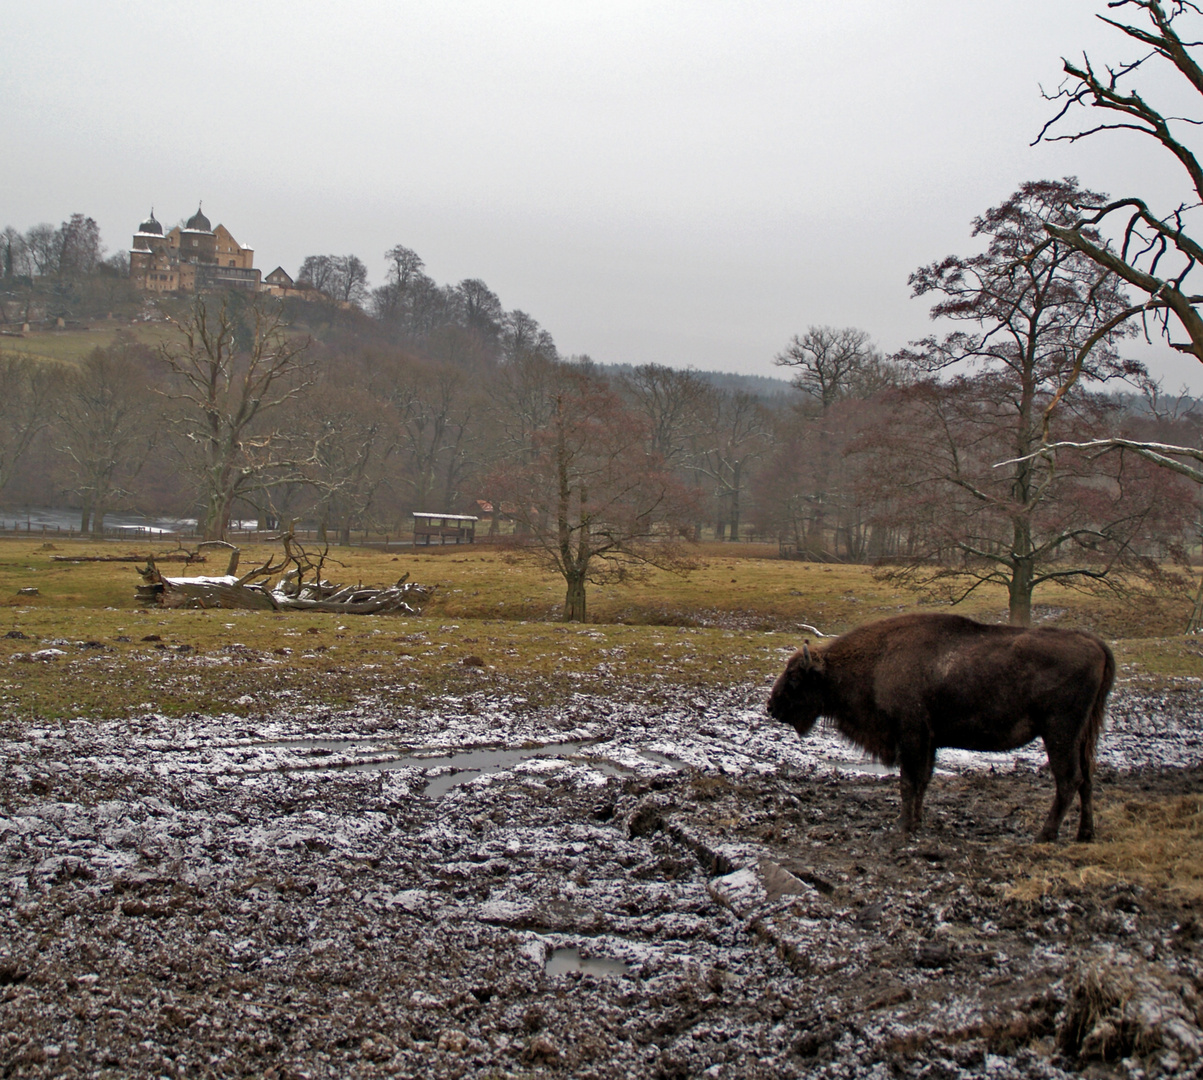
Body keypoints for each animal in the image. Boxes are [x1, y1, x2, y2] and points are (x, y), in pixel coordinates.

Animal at [769, 610, 1116, 837]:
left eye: (795, 677)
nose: (773, 707)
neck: (878, 660)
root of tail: (1095, 643)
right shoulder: (929, 742)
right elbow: (923, 781)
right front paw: (917, 822)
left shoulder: (911, 736)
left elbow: (909, 782)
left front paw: (902, 827)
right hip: (1083, 735)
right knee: (1087, 779)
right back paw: (1085, 834)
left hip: (1059, 733)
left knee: (1069, 780)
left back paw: (1045, 835)